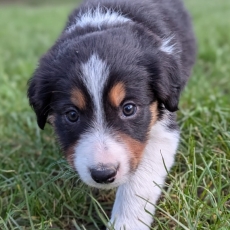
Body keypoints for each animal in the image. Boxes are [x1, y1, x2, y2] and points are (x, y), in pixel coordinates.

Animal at [27, 0, 196, 229]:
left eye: (128, 109)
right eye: (72, 115)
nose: (103, 174)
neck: (102, 23)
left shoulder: (163, 129)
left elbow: (139, 183)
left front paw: (126, 223)